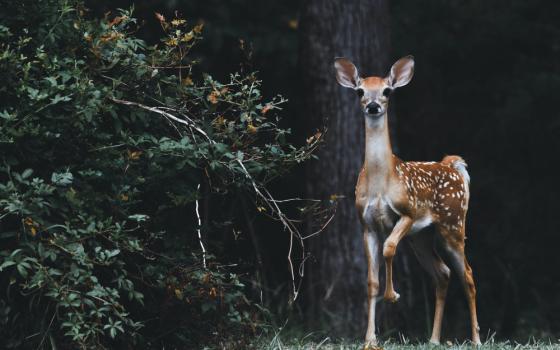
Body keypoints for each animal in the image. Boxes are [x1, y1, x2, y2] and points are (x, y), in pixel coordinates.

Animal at [332, 56, 482, 348]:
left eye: (387, 91)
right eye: (360, 91)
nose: (373, 105)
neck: (381, 181)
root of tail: (453, 166)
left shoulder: (408, 212)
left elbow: (389, 248)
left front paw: (393, 295)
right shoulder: (366, 224)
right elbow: (371, 281)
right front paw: (370, 339)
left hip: (453, 224)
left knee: (468, 274)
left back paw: (476, 339)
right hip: (421, 237)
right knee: (443, 273)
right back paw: (433, 339)